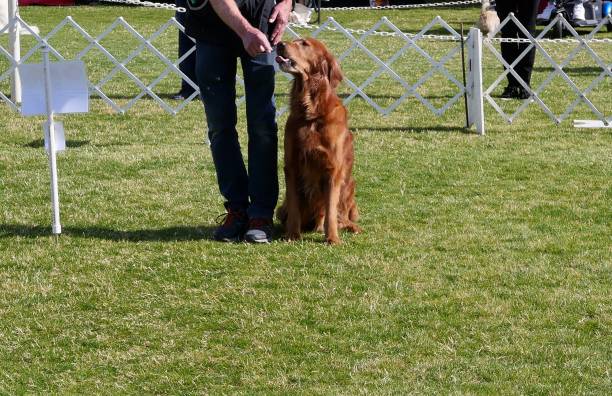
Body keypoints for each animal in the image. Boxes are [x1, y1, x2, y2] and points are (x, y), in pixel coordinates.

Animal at [276, 37, 360, 244]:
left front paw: (332, 238)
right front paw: (292, 234)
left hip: (349, 184)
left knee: (339, 216)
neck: (311, 114)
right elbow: (294, 205)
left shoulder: (332, 169)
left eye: (304, 43)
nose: (279, 44)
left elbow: (330, 209)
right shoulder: (291, 165)